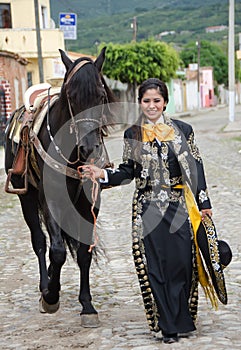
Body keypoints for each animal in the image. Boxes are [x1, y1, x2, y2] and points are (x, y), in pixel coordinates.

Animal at [3, 47, 116, 326]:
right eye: (71, 97)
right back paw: (46, 286)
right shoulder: (51, 201)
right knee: (40, 241)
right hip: (27, 199)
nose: (89, 148)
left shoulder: (89, 202)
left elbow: (84, 251)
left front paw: (87, 306)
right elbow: (56, 250)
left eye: (100, 96)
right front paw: (51, 296)